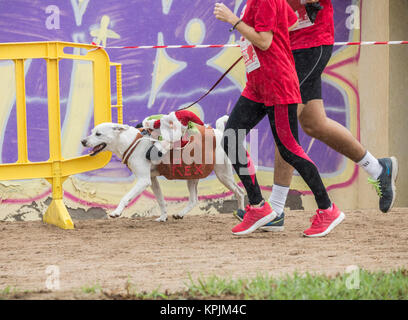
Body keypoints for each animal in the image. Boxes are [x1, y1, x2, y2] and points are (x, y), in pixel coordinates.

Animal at [81, 115, 244, 222]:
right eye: (92, 131)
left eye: (98, 134)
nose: (83, 141)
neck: (132, 142)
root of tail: (220, 133)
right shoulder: (152, 180)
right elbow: (160, 200)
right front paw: (163, 217)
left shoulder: (144, 180)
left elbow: (126, 197)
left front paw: (116, 212)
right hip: (192, 176)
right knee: (193, 200)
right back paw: (180, 214)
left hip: (223, 174)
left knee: (240, 192)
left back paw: (241, 213)